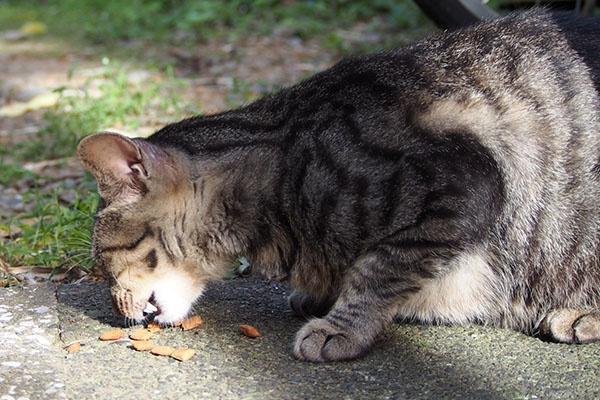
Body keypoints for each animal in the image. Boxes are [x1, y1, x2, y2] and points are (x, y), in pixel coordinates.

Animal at [77, 10, 600, 362]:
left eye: (104, 261)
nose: (115, 311)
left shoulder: (462, 185)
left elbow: (379, 269)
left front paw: (340, 326)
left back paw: (579, 315)